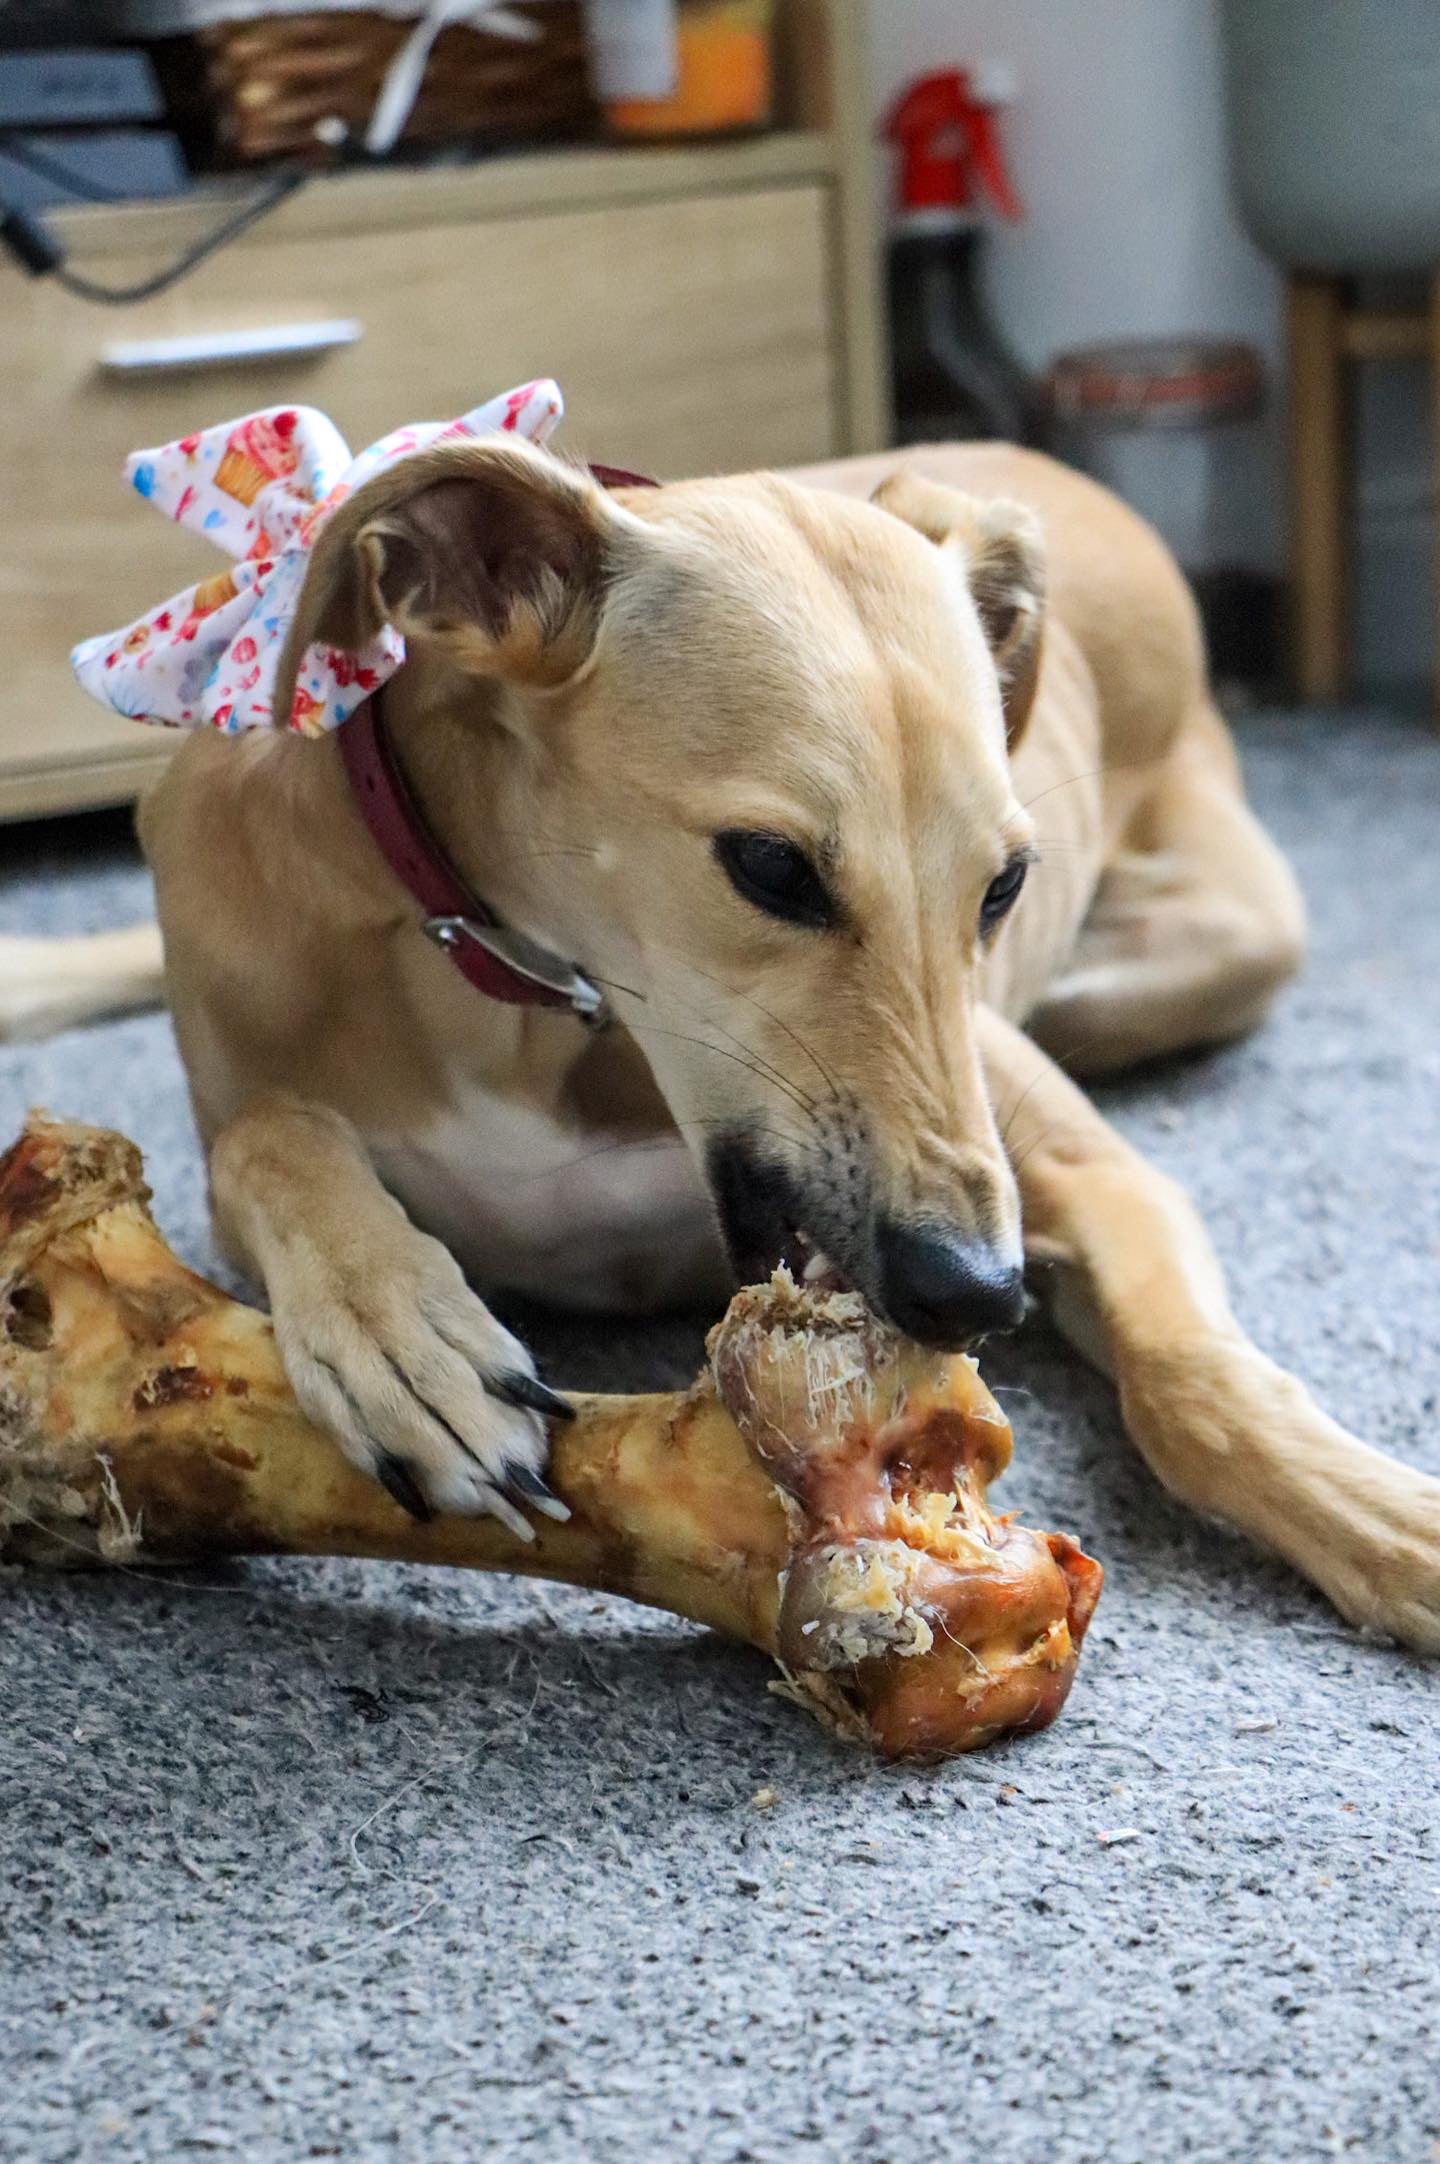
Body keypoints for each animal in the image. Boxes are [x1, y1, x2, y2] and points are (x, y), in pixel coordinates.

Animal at [5, 439, 1429, 1644]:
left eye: (1004, 882)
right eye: (771, 866)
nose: (979, 1292)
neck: (529, 988)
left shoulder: (1076, 1169)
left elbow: (1194, 1373)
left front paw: (1377, 1515)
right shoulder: (248, 1099)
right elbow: (269, 1134)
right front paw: (397, 1323)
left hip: (1224, 942)